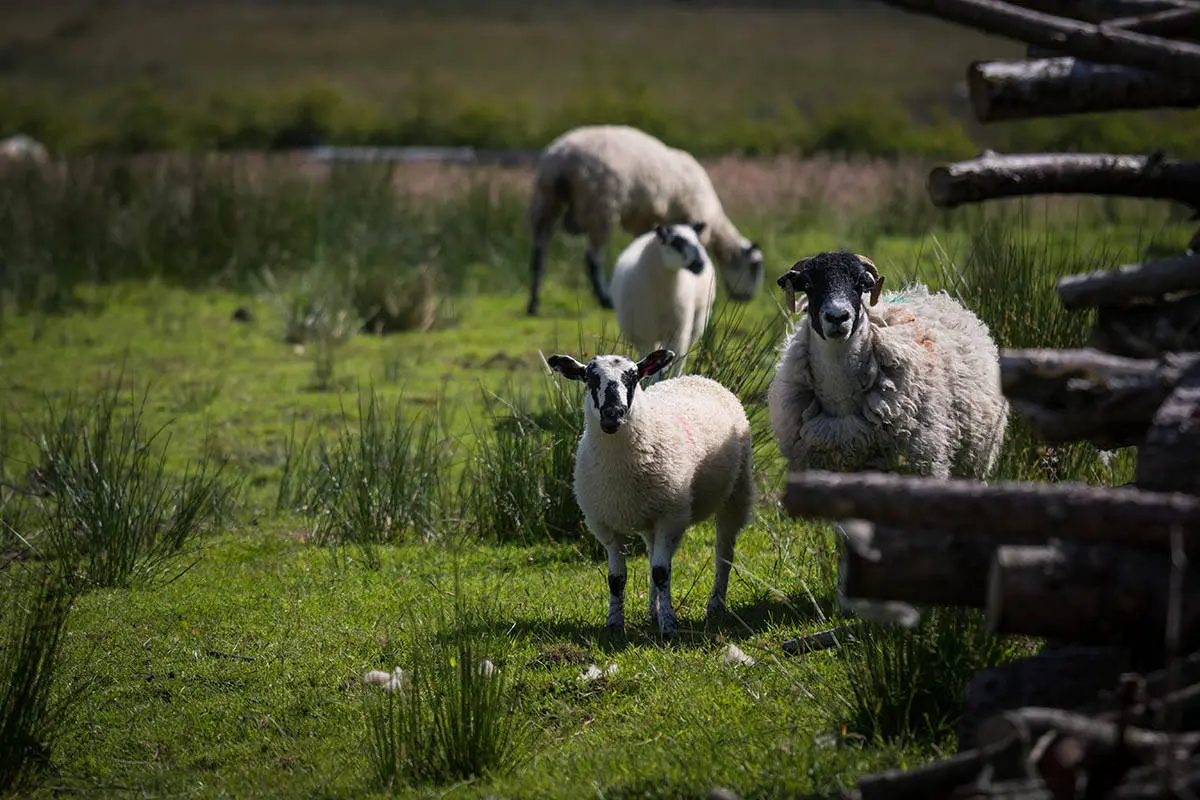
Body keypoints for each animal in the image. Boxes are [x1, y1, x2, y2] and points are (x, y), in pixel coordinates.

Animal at [528, 123, 768, 314]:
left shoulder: (645, 221)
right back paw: (605, 300)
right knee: (593, 259)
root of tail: (563, 159)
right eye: (755, 266)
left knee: (539, 252)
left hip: (545, 199)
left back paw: (533, 304)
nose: (748, 299)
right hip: (601, 205)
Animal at [549, 350, 753, 638]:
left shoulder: (670, 516)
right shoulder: (605, 525)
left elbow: (661, 572)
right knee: (655, 553)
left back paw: (715, 605)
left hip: (736, 491)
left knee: (723, 552)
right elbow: (617, 578)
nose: (613, 414)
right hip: (652, 518)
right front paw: (615, 624)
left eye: (634, 377)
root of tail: (699, 377)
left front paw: (668, 626)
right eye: (589, 378)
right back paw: (652, 612)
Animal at [614, 220, 715, 381]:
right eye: (675, 243)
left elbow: (675, 366)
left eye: (697, 241)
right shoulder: (645, 335)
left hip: (696, 322)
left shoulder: (677, 334)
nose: (700, 264)